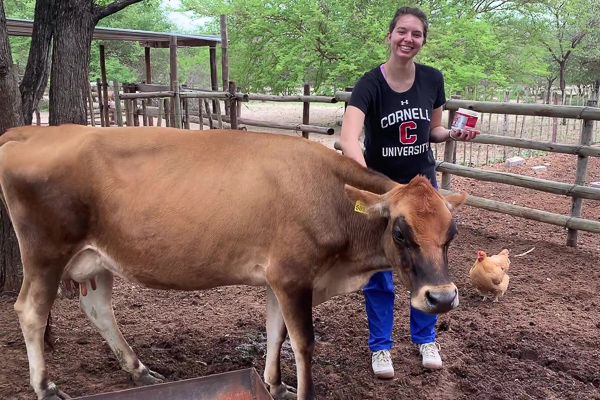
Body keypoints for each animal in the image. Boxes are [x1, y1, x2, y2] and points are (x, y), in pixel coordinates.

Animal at [0, 126, 466, 400]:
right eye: (401, 232)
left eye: (452, 233)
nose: (442, 298)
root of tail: (29, 132)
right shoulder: (293, 275)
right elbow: (304, 343)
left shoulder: (279, 279)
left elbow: (276, 333)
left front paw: (275, 385)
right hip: (45, 252)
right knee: (30, 311)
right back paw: (46, 387)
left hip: (95, 260)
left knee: (98, 310)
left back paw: (140, 371)